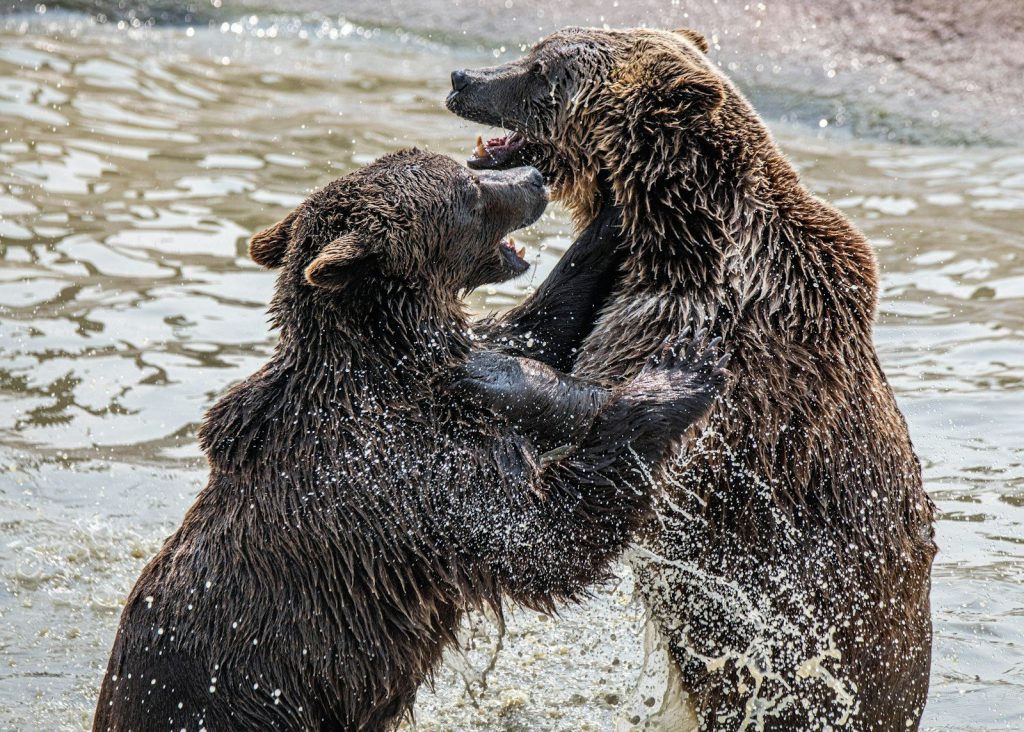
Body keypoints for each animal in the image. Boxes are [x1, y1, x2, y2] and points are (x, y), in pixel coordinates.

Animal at [92, 149, 727, 731]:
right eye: (468, 191)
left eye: (461, 167)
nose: (532, 178)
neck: (390, 366)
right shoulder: (411, 476)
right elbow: (544, 541)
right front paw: (678, 374)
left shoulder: (465, 372)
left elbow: (536, 327)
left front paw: (616, 209)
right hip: (236, 702)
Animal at [447, 27, 937, 731]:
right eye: (536, 48)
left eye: (541, 70)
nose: (463, 78)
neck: (678, 232)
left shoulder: (725, 343)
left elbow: (622, 417)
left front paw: (492, 374)